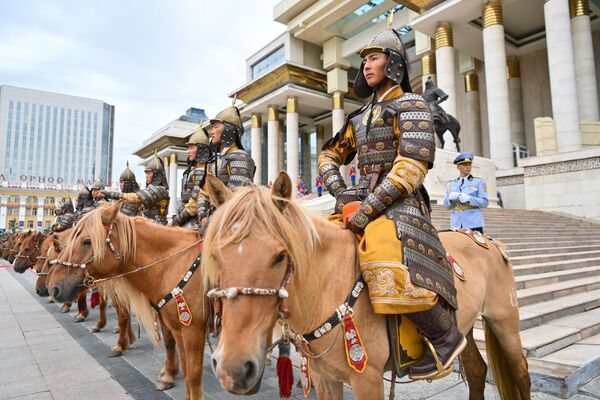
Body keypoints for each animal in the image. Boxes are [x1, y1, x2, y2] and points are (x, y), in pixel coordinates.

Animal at [46, 205, 206, 398]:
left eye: (87, 241)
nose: (53, 288)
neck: (175, 264)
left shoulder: (193, 330)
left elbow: (193, 376)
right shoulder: (177, 328)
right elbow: (182, 363)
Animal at [204, 173, 532, 400]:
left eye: (279, 256)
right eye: (215, 255)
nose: (231, 368)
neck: (327, 286)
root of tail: (485, 239)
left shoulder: (368, 380)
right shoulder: (325, 378)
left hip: (504, 320)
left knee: (521, 374)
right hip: (466, 325)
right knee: (477, 371)